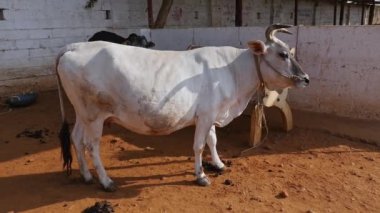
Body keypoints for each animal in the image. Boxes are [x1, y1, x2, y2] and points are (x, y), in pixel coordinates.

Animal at [57, 24, 308, 191]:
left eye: (289, 52)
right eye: (283, 54)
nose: (305, 79)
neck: (232, 70)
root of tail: (74, 47)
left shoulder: (212, 112)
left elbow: (212, 140)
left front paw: (219, 164)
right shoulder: (205, 116)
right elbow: (199, 145)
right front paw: (201, 176)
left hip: (82, 113)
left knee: (76, 138)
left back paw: (86, 175)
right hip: (95, 115)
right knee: (91, 145)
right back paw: (105, 181)